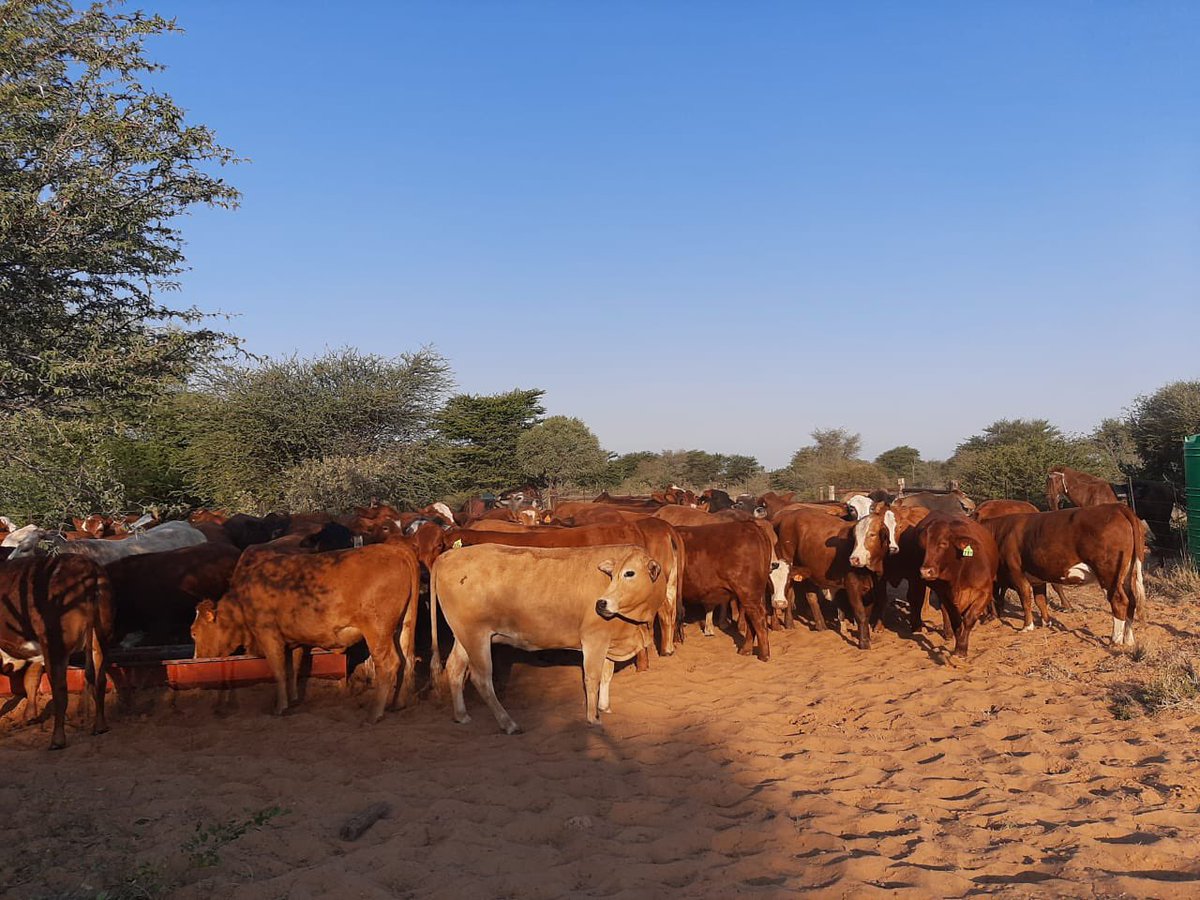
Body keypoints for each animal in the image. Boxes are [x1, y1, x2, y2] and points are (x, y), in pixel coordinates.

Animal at [0, 554, 113, 749]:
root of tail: (88, 568)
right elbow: (31, 679)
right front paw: (29, 716)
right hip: (100, 639)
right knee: (100, 679)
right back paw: (100, 727)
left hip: (56, 645)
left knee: (60, 690)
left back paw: (57, 740)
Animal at [191, 541, 421, 721]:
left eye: (193, 632)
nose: (197, 658)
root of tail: (397, 550)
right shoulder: (295, 640)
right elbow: (293, 668)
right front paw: (293, 700)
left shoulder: (269, 636)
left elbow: (279, 671)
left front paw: (280, 707)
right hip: (403, 626)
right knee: (406, 660)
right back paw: (397, 704)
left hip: (377, 631)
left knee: (389, 663)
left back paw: (374, 713)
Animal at [432, 543, 665, 733]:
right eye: (614, 574)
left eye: (629, 573)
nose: (601, 604)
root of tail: (449, 555)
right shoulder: (594, 639)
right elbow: (592, 678)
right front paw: (593, 718)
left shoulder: (609, 641)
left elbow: (606, 675)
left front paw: (604, 706)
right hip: (476, 636)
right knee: (481, 679)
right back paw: (508, 723)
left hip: (463, 636)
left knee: (454, 667)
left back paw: (461, 715)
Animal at [914, 513, 1000, 660]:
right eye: (922, 545)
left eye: (943, 543)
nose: (925, 571)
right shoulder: (946, 594)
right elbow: (956, 620)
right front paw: (959, 646)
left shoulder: (984, 592)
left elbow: (969, 619)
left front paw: (962, 648)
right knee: (944, 609)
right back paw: (948, 633)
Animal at [981, 504, 1147, 645]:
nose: (985, 620)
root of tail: (1118, 507)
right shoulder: (1038, 578)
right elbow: (1040, 600)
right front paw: (1046, 622)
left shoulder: (1016, 573)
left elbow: (1025, 600)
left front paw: (1027, 627)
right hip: (1128, 573)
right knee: (1132, 600)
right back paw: (1128, 640)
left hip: (1108, 574)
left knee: (1119, 600)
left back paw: (1115, 640)